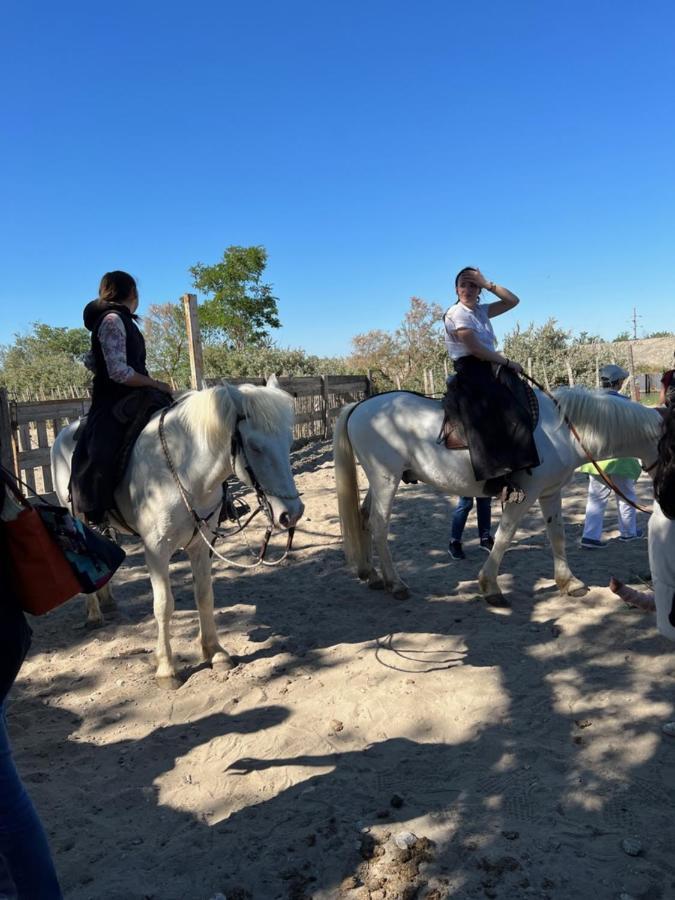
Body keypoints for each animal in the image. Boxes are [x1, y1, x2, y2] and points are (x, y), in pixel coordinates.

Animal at [51, 376, 304, 684]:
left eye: (288, 442)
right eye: (255, 447)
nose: (292, 513)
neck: (185, 472)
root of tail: (65, 431)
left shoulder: (201, 544)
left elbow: (204, 595)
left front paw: (215, 652)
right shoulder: (156, 551)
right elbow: (163, 605)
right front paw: (166, 668)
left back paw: (107, 600)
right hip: (75, 516)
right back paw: (94, 614)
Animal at [336, 384, 664, 604]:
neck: (562, 431)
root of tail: (359, 407)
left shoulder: (550, 493)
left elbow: (556, 535)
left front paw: (569, 583)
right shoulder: (525, 494)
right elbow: (506, 535)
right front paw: (490, 587)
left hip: (378, 482)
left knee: (364, 518)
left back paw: (372, 575)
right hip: (385, 479)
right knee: (379, 524)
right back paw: (395, 583)